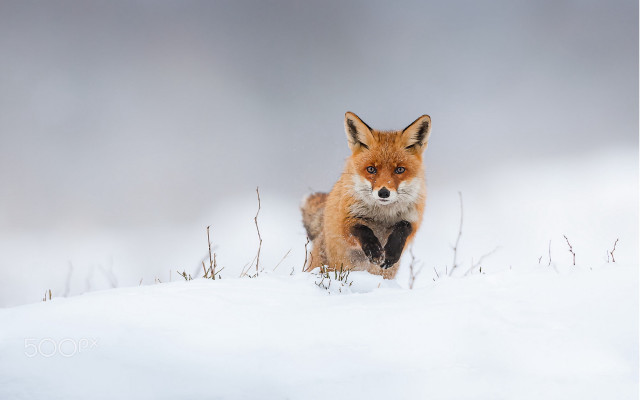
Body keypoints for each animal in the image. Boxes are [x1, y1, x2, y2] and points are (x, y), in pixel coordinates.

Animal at [301, 111, 431, 279]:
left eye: (400, 170)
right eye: (371, 169)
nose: (384, 192)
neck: (382, 214)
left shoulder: (413, 221)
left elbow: (403, 228)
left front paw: (390, 254)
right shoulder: (346, 222)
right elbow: (362, 229)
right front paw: (374, 251)